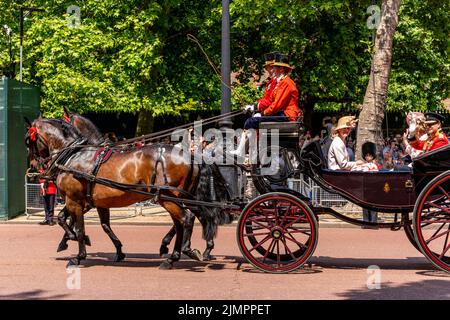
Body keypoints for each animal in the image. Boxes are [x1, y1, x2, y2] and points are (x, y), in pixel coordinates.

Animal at [25, 117, 230, 268]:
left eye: (28, 141)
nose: (34, 166)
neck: (75, 155)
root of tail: (191, 155)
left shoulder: (74, 200)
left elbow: (79, 228)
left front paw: (78, 254)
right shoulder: (93, 202)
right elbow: (90, 224)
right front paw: (115, 250)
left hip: (169, 198)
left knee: (186, 219)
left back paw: (182, 252)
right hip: (180, 197)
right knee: (188, 219)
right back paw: (179, 253)